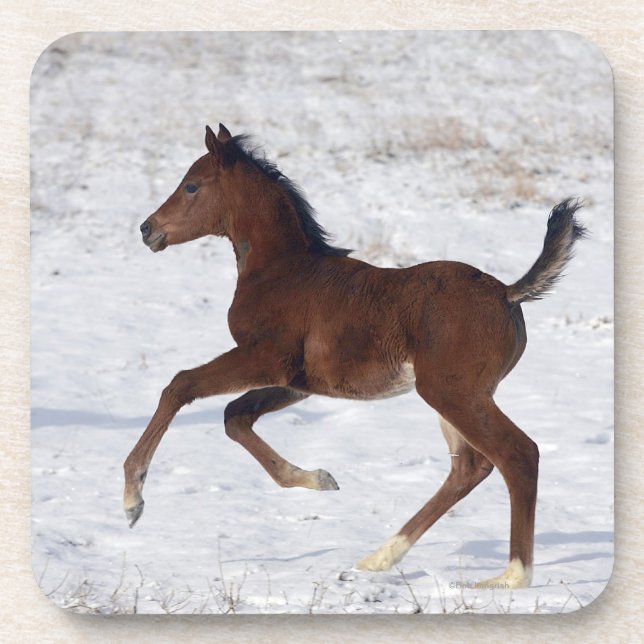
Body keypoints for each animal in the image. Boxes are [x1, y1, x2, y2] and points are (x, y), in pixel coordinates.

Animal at [124, 123, 586, 589]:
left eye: (191, 185)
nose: (147, 229)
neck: (280, 269)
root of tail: (508, 293)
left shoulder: (264, 359)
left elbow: (180, 386)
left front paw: (132, 499)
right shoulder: (298, 383)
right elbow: (235, 416)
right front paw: (321, 479)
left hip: (452, 393)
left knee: (517, 455)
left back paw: (511, 577)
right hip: (455, 396)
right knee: (469, 467)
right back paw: (378, 558)